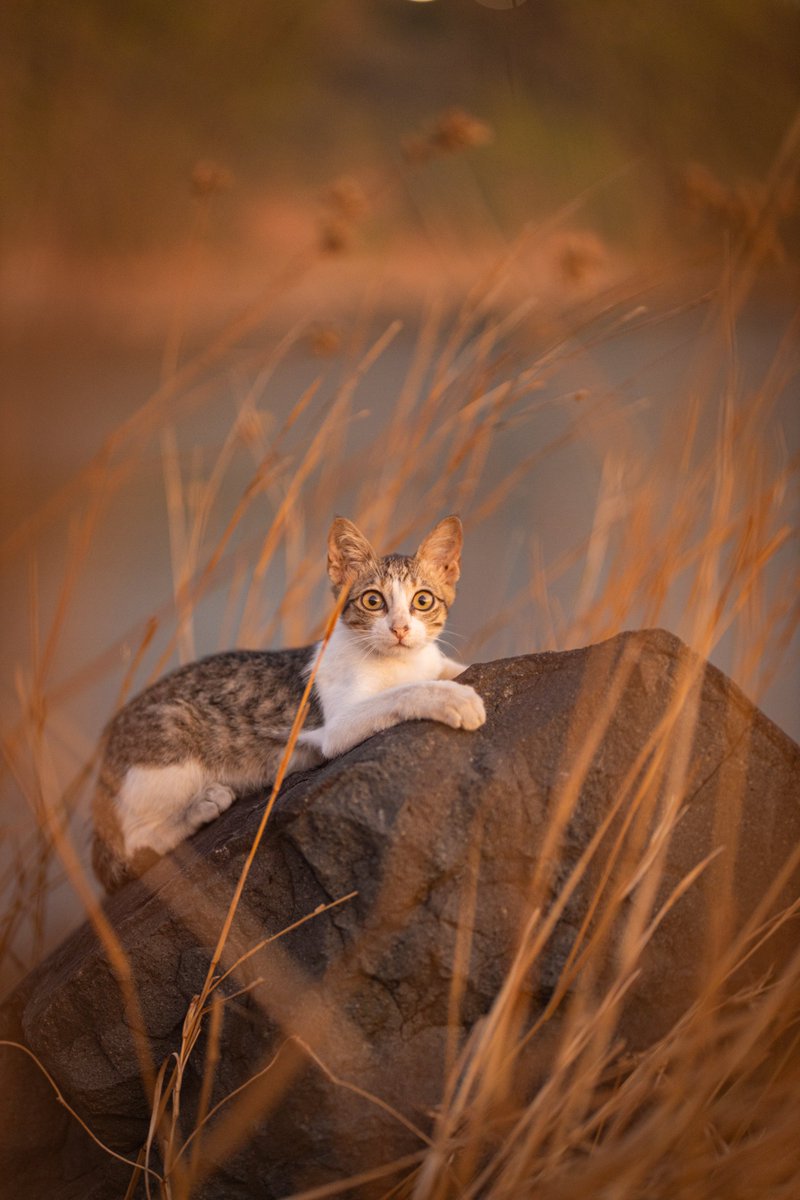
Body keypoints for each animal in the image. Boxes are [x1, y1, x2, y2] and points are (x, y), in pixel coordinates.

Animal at [91, 513, 484, 892]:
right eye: (373, 600)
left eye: (423, 600)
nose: (400, 629)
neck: (399, 662)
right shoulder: (336, 727)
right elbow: (404, 692)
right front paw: (457, 698)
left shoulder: (431, 661)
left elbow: (446, 669)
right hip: (171, 742)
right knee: (132, 847)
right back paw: (201, 807)